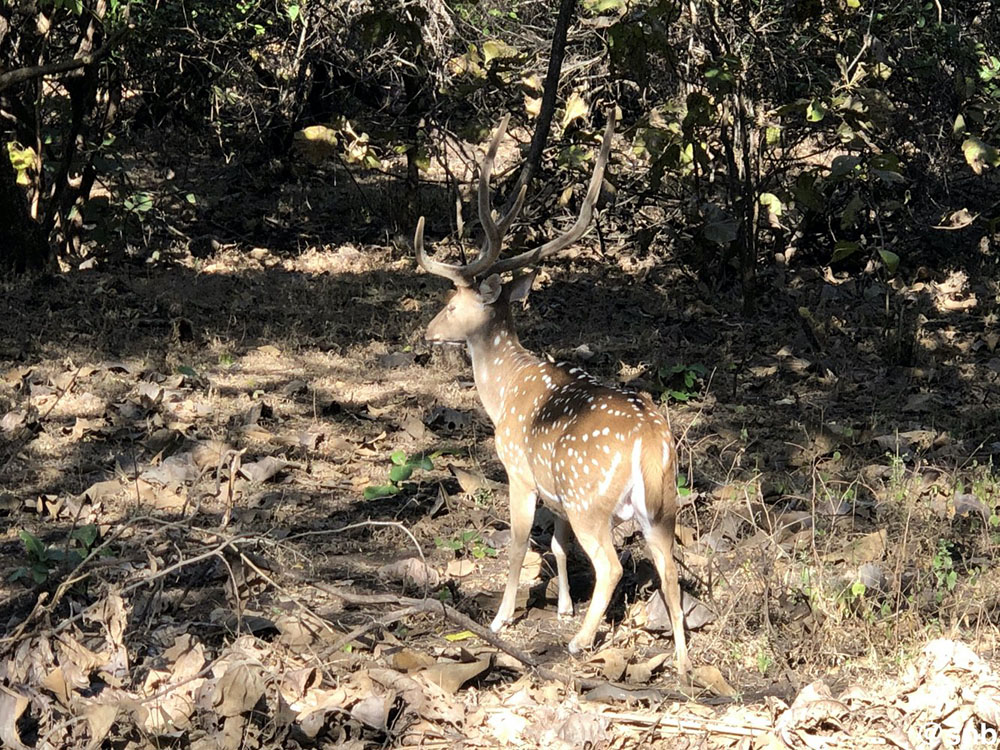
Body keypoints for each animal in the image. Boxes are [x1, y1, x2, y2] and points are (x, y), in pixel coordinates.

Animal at [414, 111, 688, 676]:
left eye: (451, 303)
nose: (427, 332)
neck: (504, 391)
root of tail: (651, 440)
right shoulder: (556, 491)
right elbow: (558, 547)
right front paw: (561, 605)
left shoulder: (520, 469)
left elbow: (520, 544)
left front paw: (502, 617)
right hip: (662, 503)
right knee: (668, 567)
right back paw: (679, 656)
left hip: (592, 497)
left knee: (611, 566)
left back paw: (581, 643)